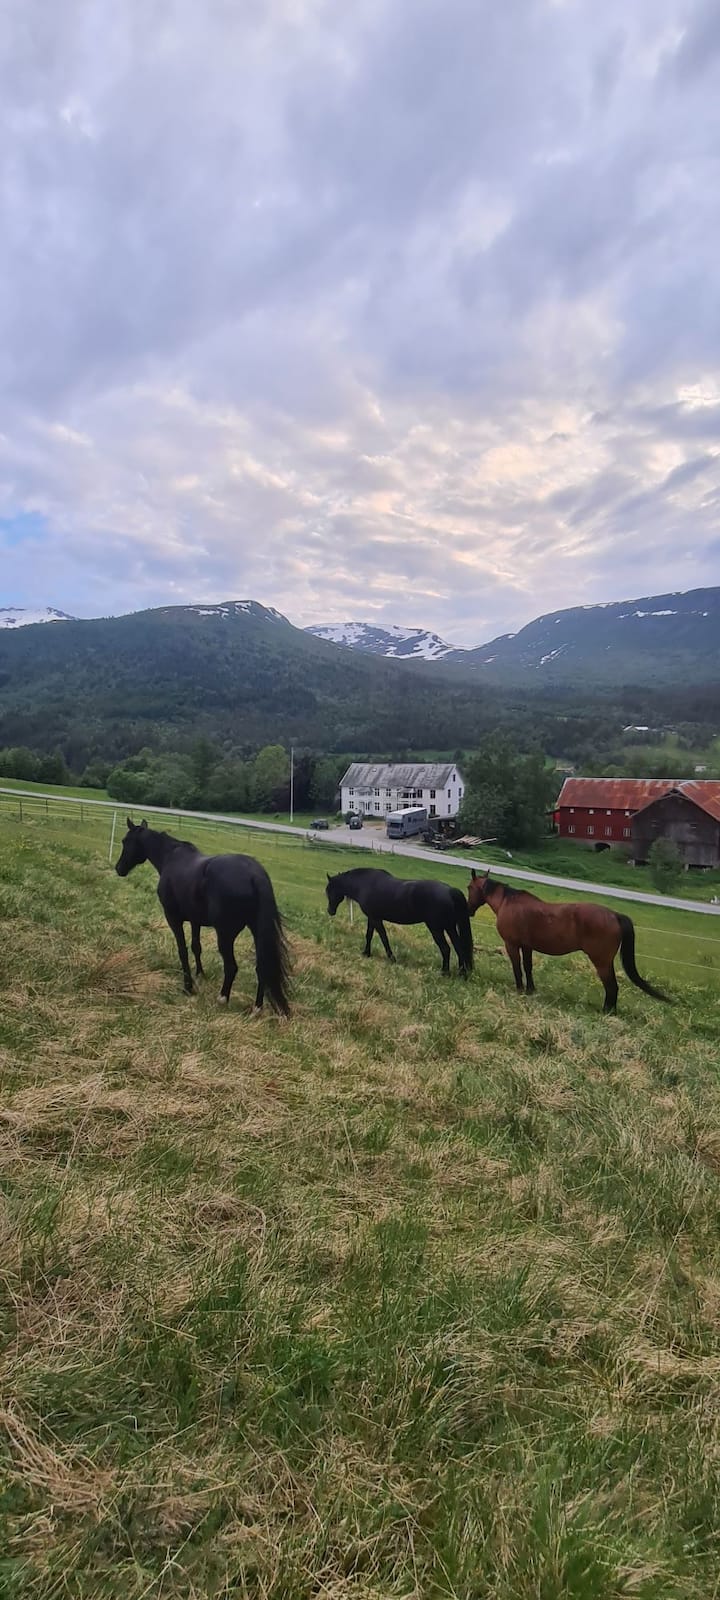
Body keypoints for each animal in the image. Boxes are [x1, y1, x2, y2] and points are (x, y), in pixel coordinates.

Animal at [115, 819, 291, 1014]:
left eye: (125, 841)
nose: (119, 868)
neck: (171, 858)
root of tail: (255, 875)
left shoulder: (173, 918)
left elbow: (183, 950)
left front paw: (188, 987)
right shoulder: (195, 921)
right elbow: (196, 947)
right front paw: (200, 975)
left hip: (225, 934)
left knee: (231, 967)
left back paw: (222, 999)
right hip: (257, 930)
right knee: (262, 967)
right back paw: (257, 1008)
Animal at [326, 866, 473, 976]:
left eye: (329, 890)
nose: (330, 911)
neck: (365, 884)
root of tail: (450, 891)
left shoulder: (376, 919)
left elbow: (383, 937)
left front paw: (391, 958)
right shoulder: (372, 918)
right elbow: (369, 935)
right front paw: (366, 953)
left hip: (436, 928)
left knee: (446, 948)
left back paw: (445, 972)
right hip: (450, 927)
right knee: (459, 947)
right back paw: (462, 973)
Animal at [467, 869, 669, 1014]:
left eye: (469, 887)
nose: (469, 909)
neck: (508, 902)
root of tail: (614, 915)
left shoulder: (512, 944)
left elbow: (517, 967)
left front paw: (519, 989)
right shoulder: (527, 946)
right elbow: (528, 967)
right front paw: (530, 990)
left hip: (601, 961)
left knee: (611, 987)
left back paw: (607, 1012)